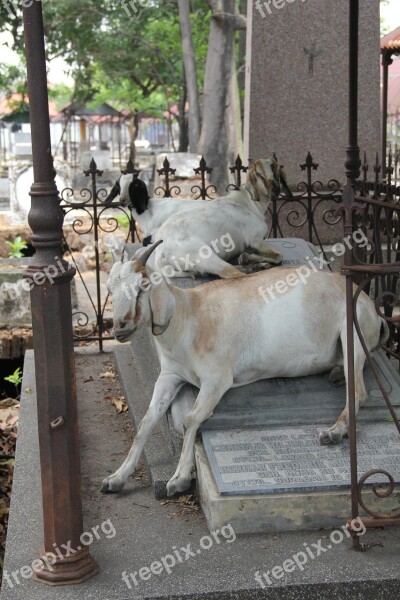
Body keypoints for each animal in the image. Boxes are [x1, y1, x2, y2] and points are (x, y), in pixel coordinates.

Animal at [101, 240, 390, 496]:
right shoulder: (170, 376)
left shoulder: (217, 378)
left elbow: (190, 419)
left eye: (142, 287)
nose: (119, 328)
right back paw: (336, 375)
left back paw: (334, 432)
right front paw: (116, 478)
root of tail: (371, 307)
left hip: (351, 332)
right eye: (110, 289)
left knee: (359, 392)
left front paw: (180, 478)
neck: (187, 316)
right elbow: (146, 422)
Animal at [104, 156, 292, 278]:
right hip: (204, 256)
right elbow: (278, 256)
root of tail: (160, 253)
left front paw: (247, 257)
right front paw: (249, 258)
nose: (275, 190)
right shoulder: (254, 238)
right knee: (233, 275)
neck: (249, 203)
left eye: (277, 171)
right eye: (258, 174)